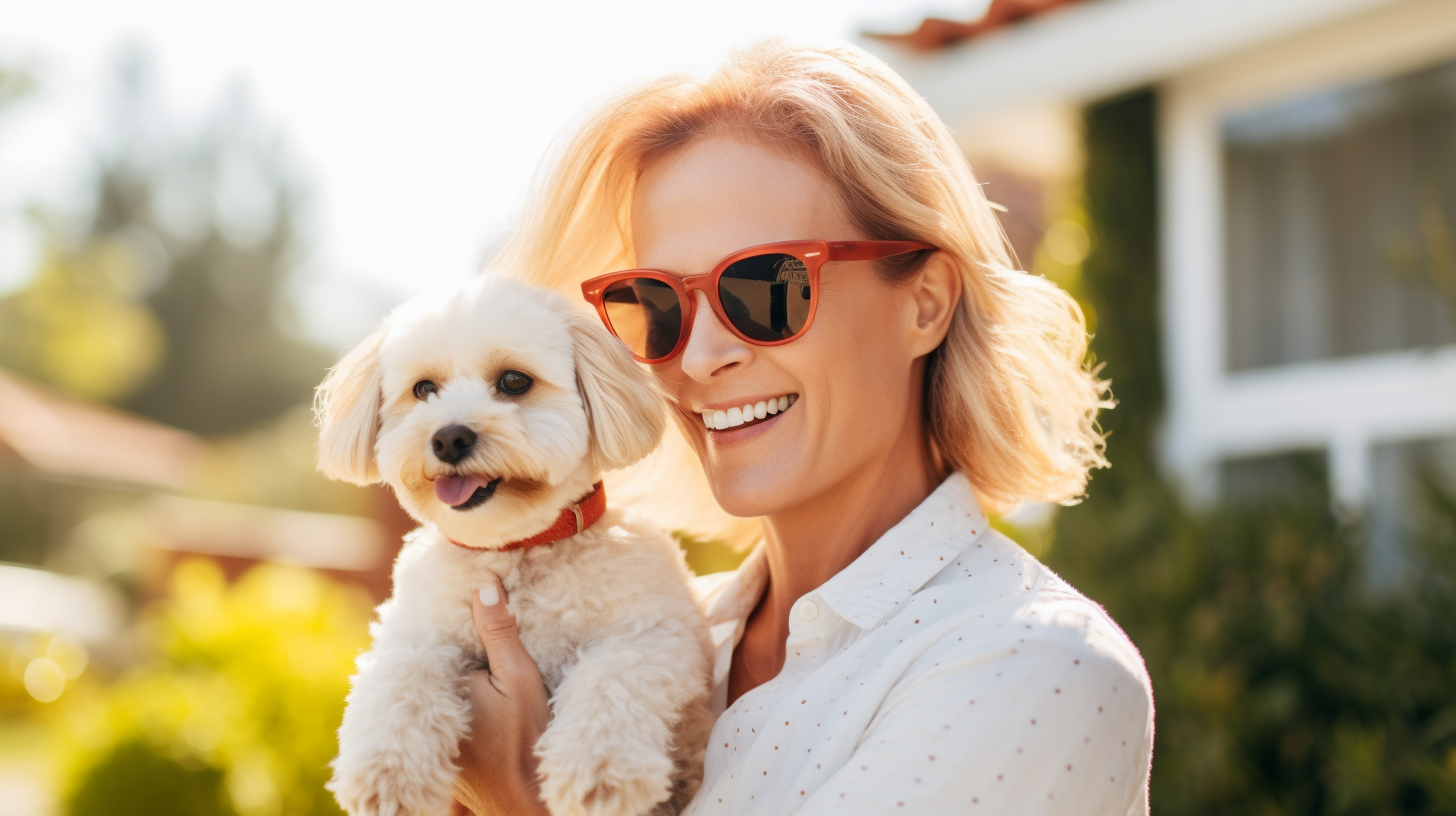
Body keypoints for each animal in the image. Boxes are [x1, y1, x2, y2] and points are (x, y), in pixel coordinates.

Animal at [315, 275, 713, 816]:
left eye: (514, 382)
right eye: (424, 389)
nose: (449, 438)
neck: (517, 549)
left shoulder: (654, 636)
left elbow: (612, 679)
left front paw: (600, 769)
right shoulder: (419, 631)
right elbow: (401, 676)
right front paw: (386, 772)